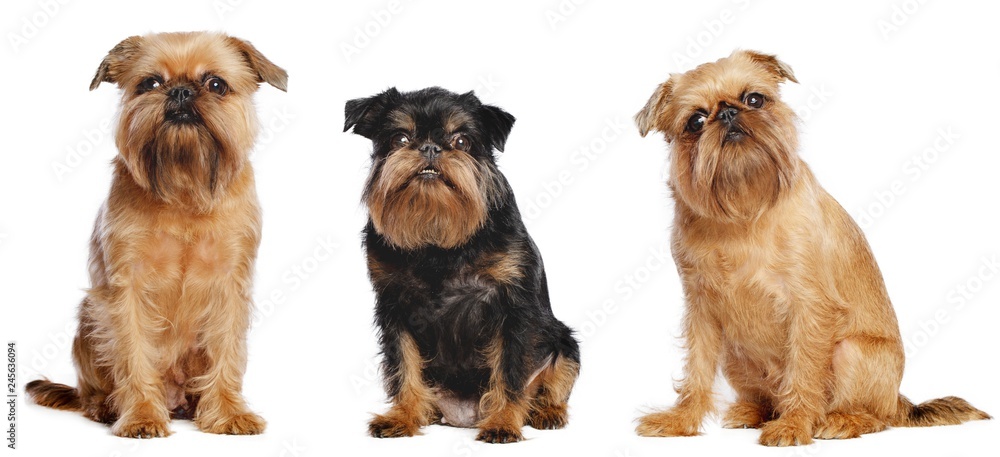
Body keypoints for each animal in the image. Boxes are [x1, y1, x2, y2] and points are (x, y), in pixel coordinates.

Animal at [24, 30, 290, 436]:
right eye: (150, 83)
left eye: (216, 84)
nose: (179, 91)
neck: (183, 190)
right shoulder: (126, 290)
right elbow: (132, 354)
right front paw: (141, 416)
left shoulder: (230, 287)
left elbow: (227, 351)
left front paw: (228, 414)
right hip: (89, 317)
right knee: (90, 391)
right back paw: (107, 407)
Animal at [632, 50, 984, 446]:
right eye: (695, 121)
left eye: (755, 99)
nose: (728, 113)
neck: (743, 212)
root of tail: (900, 399)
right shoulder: (702, 310)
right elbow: (697, 369)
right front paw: (681, 420)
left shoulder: (809, 307)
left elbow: (803, 369)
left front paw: (794, 424)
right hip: (736, 355)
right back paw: (752, 412)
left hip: (851, 353)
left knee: (878, 416)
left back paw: (844, 420)